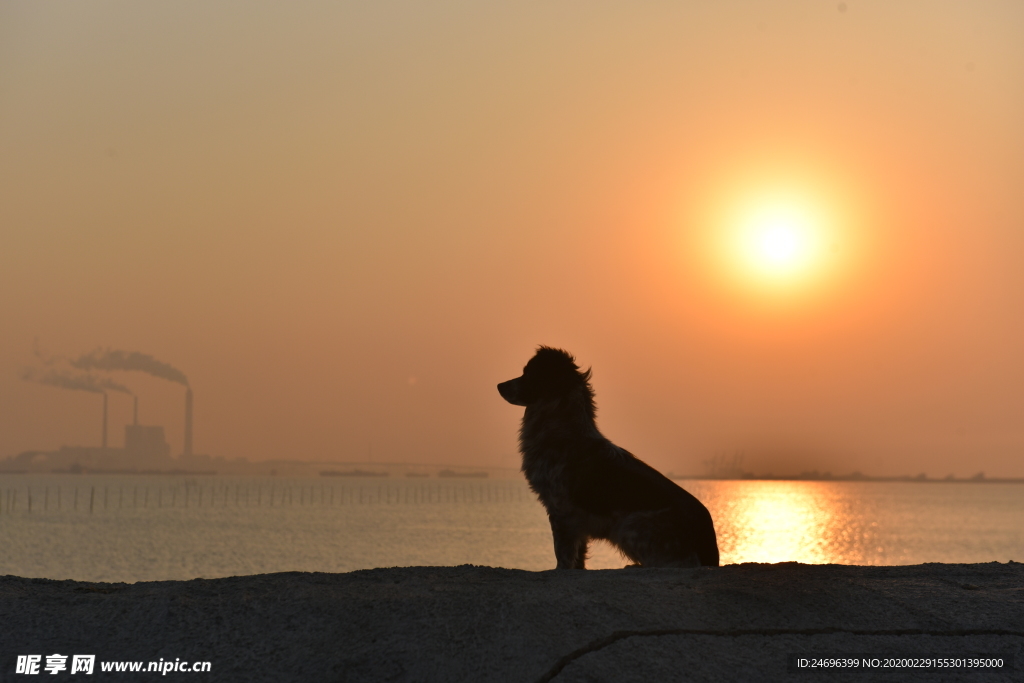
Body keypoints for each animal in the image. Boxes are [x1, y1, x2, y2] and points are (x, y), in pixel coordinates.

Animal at [497, 344, 720, 569]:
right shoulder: (577, 522)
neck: (564, 431)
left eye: (528, 373)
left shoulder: (561, 510)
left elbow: (563, 554)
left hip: (630, 526)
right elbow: (578, 557)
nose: (499, 385)